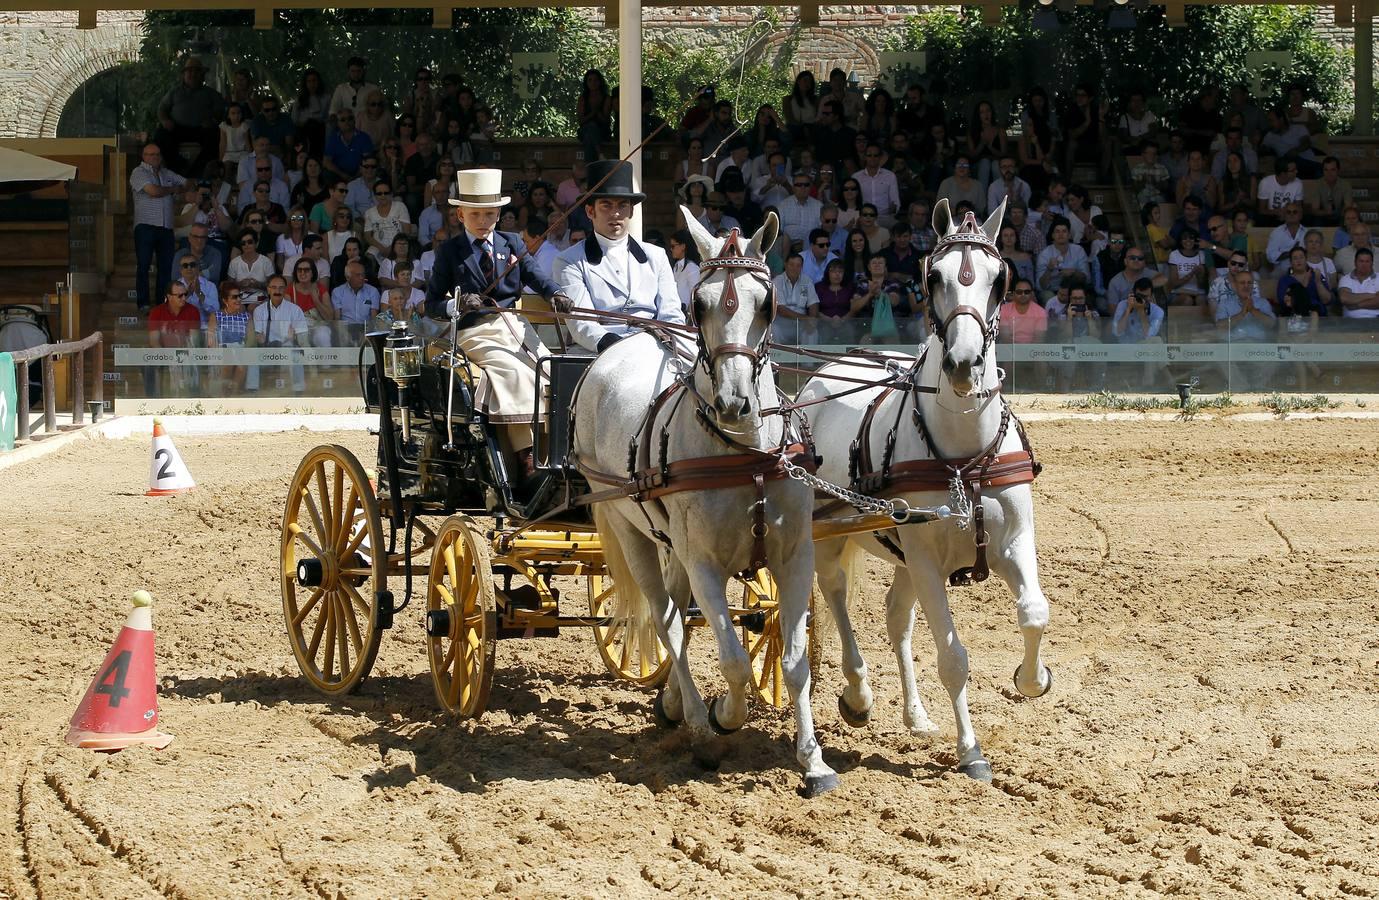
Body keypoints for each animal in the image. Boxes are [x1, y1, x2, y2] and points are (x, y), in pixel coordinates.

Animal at [570, 209, 838, 793]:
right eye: (700, 304)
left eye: (767, 303)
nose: (735, 402)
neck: (746, 454)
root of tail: (621, 347)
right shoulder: (706, 565)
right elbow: (733, 659)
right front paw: (723, 719)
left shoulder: (795, 557)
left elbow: (794, 662)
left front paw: (813, 762)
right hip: (629, 528)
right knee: (665, 618)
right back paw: (695, 721)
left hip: (670, 539)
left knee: (674, 613)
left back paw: (671, 703)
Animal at [805, 197, 1048, 777]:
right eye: (933, 276)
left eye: (1000, 280)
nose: (963, 363)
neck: (964, 455)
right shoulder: (928, 562)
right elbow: (953, 657)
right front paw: (972, 752)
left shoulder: (1013, 542)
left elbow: (1034, 614)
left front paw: (1032, 679)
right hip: (836, 540)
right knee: (837, 596)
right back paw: (857, 695)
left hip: (904, 555)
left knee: (897, 619)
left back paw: (915, 716)